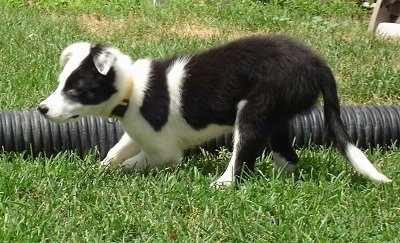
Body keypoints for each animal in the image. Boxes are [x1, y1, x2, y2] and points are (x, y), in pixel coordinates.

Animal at [38, 35, 390, 185]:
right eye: (61, 83)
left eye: (76, 90)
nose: (41, 109)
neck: (130, 88)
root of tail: (317, 64)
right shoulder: (139, 132)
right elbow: (116, 151)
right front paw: (100, 169)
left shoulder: (165, 151)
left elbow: (134, 163)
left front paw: (120, 172)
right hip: (276, 115)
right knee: (288, 157)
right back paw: (277, 181)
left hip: (254, 110)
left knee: (242, 157)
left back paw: (223, 183)